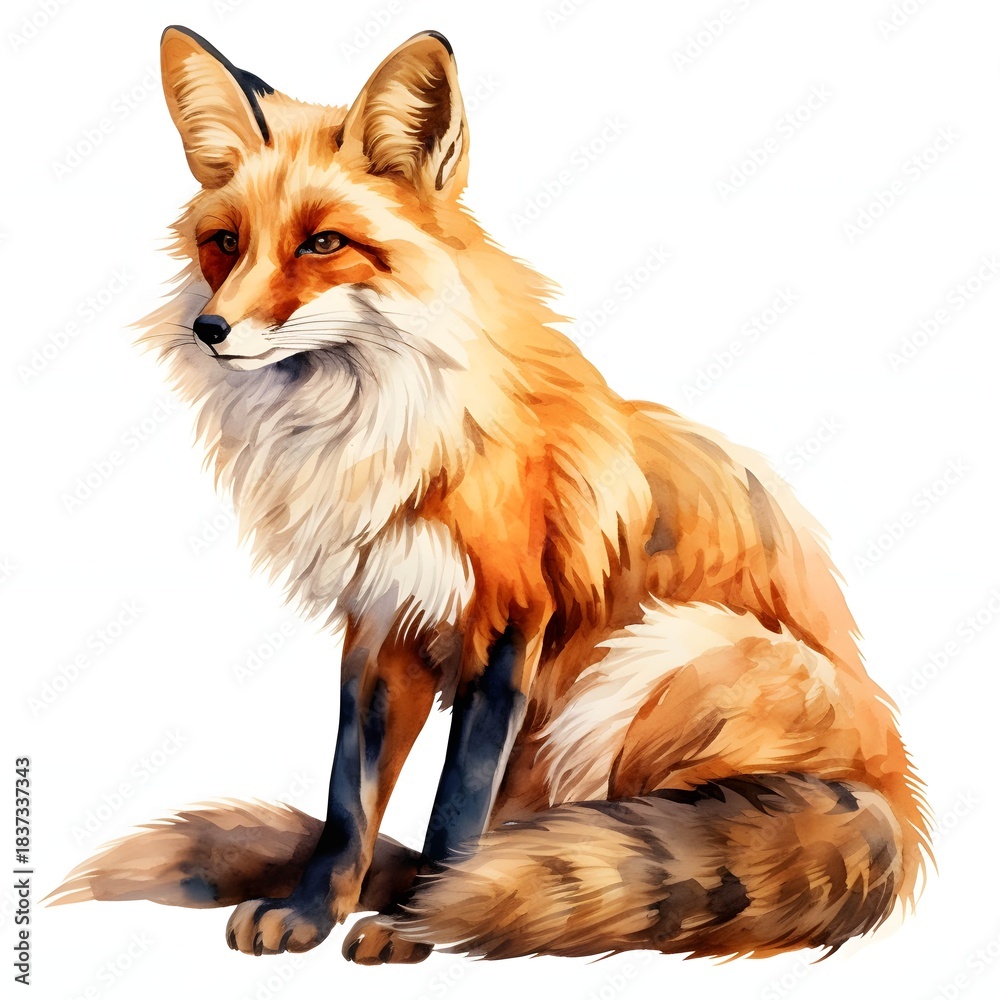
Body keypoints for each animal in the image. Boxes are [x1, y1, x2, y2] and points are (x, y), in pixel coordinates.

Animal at [50, 26, 930, 964]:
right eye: (224, 242)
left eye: (323, 244)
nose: (209, 329)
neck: (384, 437)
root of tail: (898, 802)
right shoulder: (382, 626)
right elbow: (347, 805)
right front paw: (315, 911)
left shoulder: (513, 621)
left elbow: (456, 803)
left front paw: (418, 923)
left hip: (661, 653)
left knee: (660, 829)